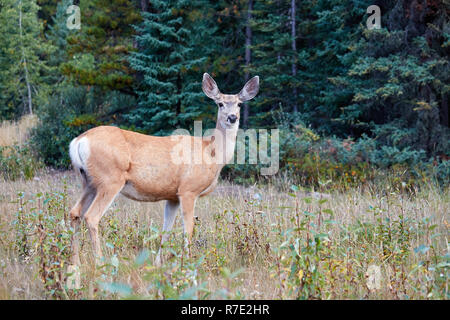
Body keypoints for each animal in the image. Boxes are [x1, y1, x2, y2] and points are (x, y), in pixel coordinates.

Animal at [65, 72, 258, 288]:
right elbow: (188, 231)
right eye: (220, 103)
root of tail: (78, 141)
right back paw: (101, 269)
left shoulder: (172, 196)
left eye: (239, 104)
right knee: (91, 216)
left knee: (75, 213)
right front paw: (189, 274)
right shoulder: (188, 190)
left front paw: (158, 267)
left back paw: (74, 269)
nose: (232, 117)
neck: (211, 154)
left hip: (88, 182)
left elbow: (166, 230)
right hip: (110, 179)